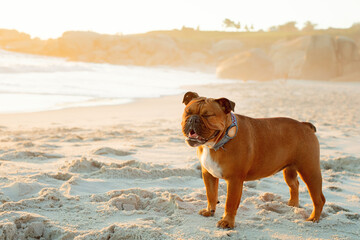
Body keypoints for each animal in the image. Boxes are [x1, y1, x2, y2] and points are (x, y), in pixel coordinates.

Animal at [181, 92, 324, 229]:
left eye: (208, 115)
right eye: (188, 112)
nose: (193, 119)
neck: (219, 142)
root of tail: (305, 125)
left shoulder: (234, 180)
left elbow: (230, 203)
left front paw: (227, 222)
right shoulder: (208, 175)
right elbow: (211, 195)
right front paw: (209, 211)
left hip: (309, 171)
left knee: (319, 198)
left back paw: (313, 218)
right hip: (289, 170)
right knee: (294, 185)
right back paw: (293, 204)